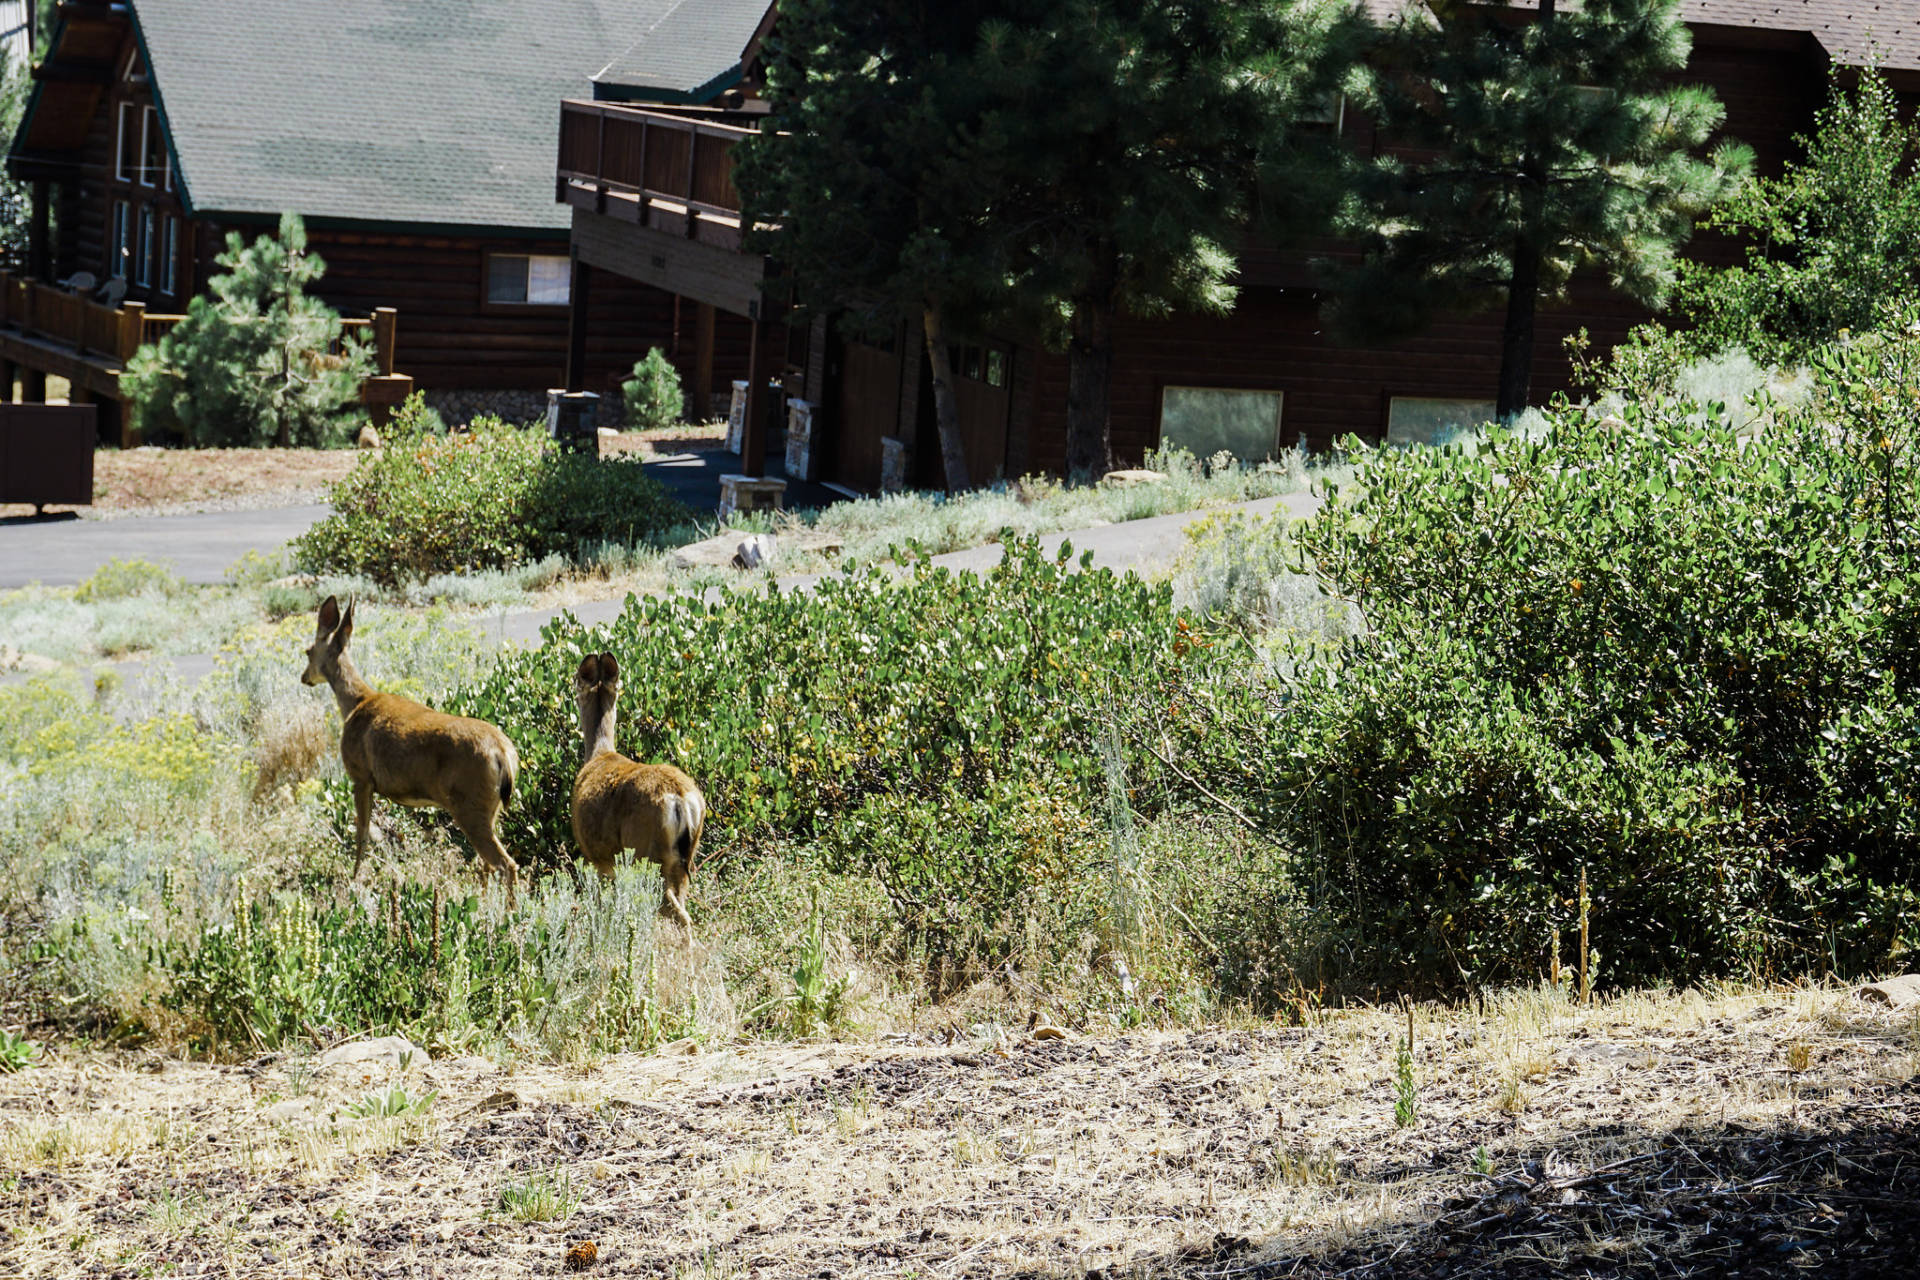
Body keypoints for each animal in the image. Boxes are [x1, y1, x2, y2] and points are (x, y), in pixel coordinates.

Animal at [293, 594, 522, 905]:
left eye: (307, 651)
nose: (304, 677)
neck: (355, 703)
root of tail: (503, 754)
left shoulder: (360, 776)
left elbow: (362, 833)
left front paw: (355, 879)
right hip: (491, 808)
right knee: (487, 863)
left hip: (469, 805)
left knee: (505, 864)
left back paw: (510, 912)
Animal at [576, 656, 714, 924]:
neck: (599, 754)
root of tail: (681, 799)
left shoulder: (596, 859)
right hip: (686, 855)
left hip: (646, 851)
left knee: (674, 910)